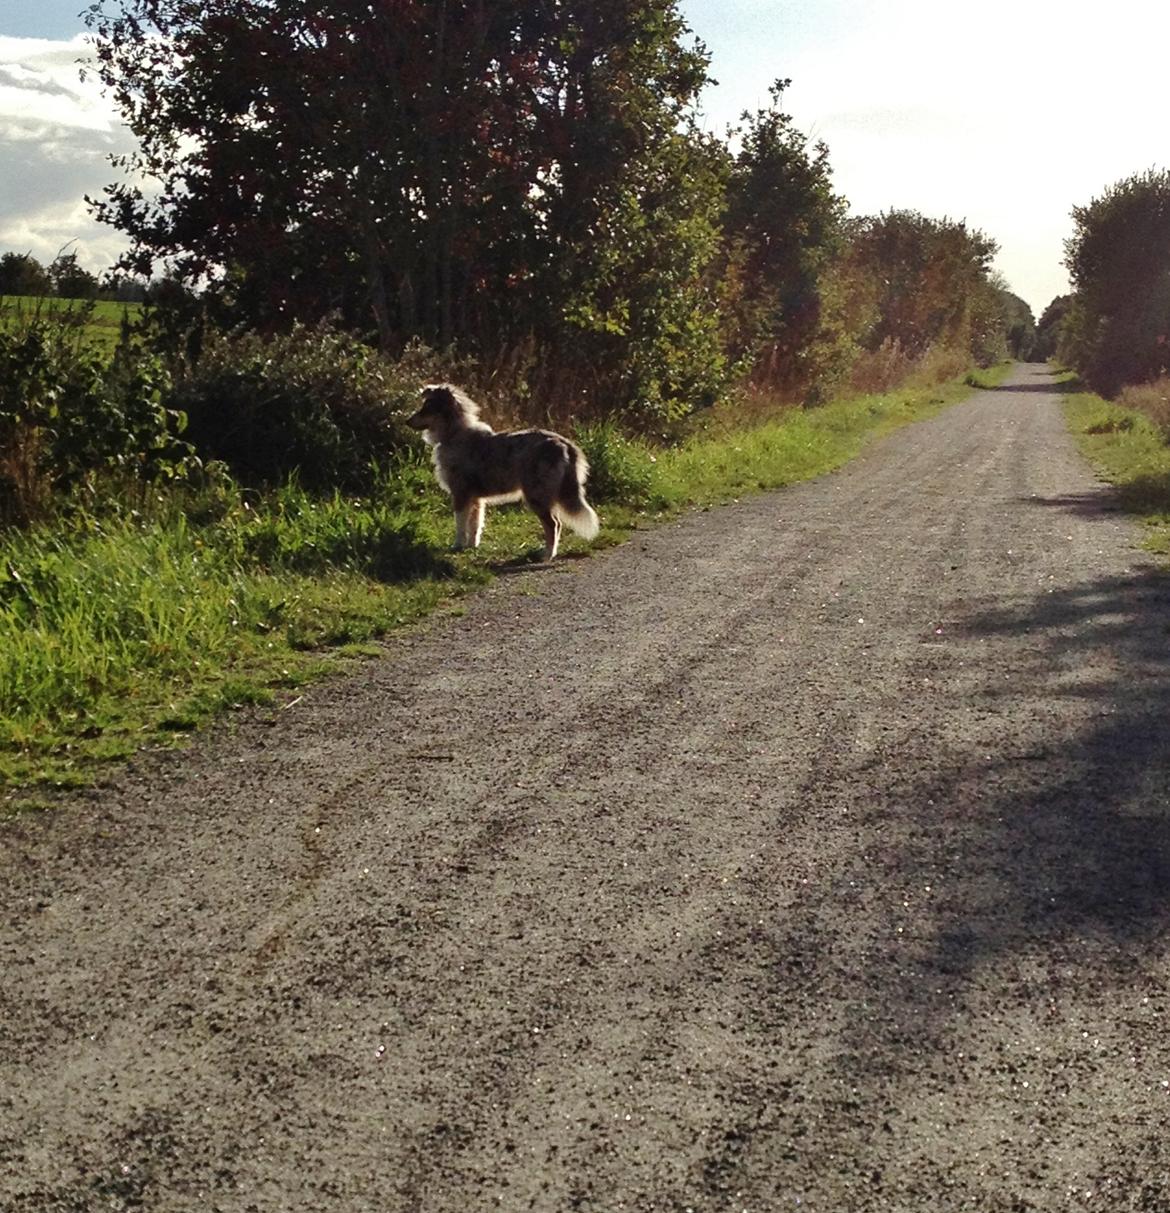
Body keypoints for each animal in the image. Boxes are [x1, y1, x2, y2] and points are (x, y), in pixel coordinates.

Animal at [407, 380, 598, 560]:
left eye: (427, 408)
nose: (406, 421)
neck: (453, 434)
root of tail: (565, 444)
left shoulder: (460, 493)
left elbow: (460, 524)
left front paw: (457, 545)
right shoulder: (476, 499)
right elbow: (475, 524)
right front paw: (472, 546)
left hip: (536, 494)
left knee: (553, 524)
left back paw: (547, 555)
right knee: (556, 524)